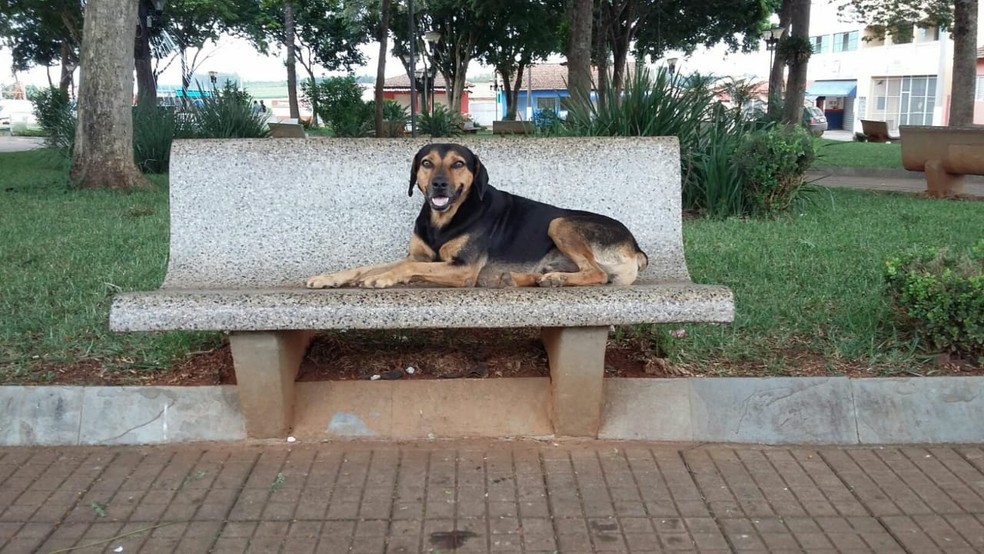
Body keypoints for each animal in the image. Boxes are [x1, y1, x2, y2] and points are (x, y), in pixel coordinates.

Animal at [304, 142, 648, 288]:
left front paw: (385, 277)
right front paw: (329, 278)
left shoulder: (463, 268)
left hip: (560, 222)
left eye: (458, 164)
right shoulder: (420, 256)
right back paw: (524, 278)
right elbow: (365, 266)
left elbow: (403, 269)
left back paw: (556, 280)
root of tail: (636, 248)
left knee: (598, 273)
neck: (444, 220)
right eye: (426, 163)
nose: (439, 184)